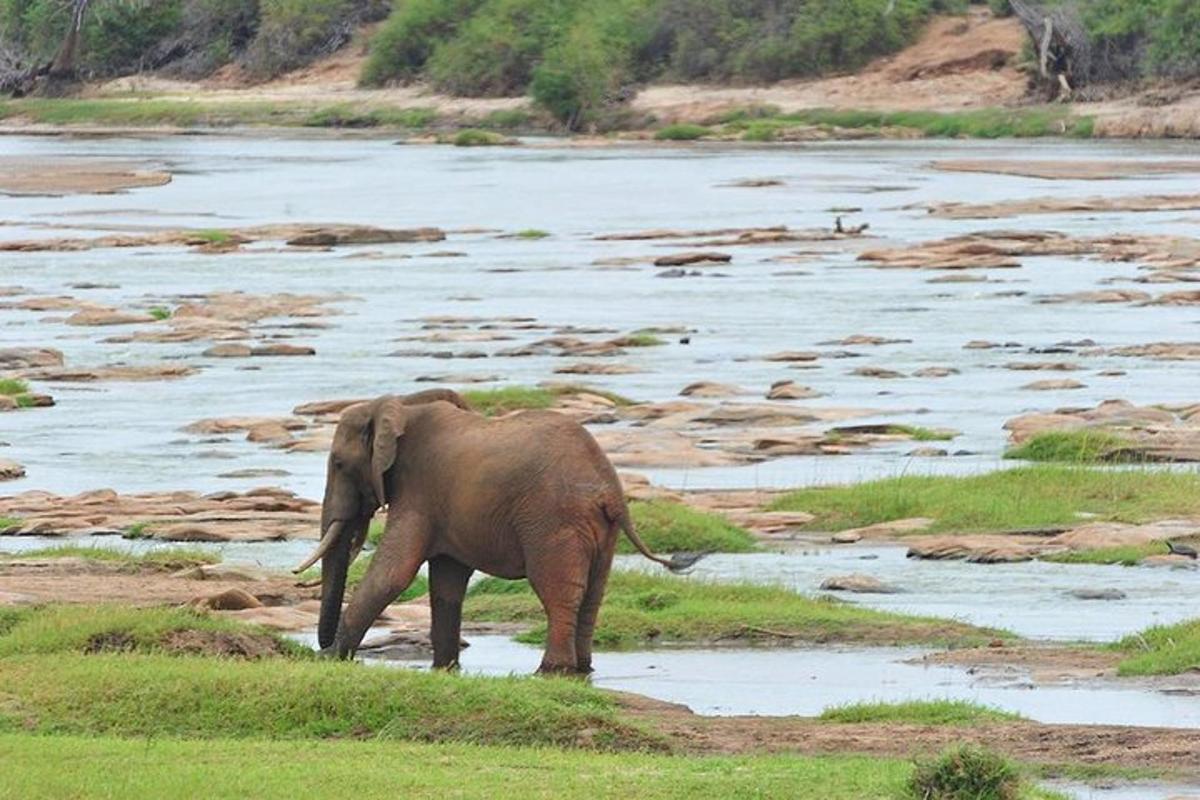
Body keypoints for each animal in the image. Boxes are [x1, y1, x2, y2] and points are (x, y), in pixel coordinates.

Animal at [292, 391, 700, 671]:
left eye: (339, 464)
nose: (321, 646)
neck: (400, 406)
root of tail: (608, 489)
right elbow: (447, 581)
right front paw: (445, 668)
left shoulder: (419, 490)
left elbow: (393, 573)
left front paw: (329, 658)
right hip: (601, 529)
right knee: (595, 591)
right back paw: (582, 667)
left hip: (553, 521)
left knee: (557, 590)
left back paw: (551, 671)